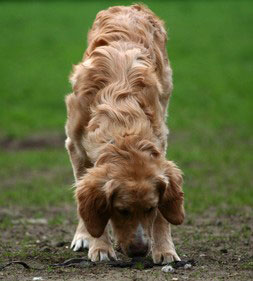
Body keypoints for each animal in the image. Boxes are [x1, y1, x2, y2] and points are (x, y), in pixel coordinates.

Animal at [64, 3, 184, 262]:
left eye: (150, 208)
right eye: (121, 210)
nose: (139, 252)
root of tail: (129, 6)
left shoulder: (160, 144)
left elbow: (163, 216)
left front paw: (165, 249)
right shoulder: (75, 145)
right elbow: (85, 201)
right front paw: (99, 246)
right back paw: (83, 237)